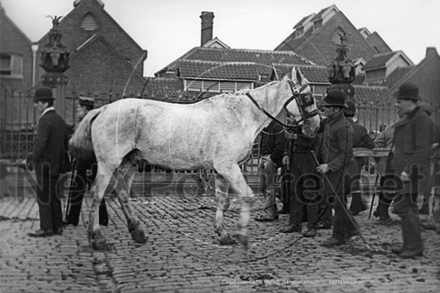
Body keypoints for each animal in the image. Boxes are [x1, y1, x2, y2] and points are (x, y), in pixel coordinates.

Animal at [70, 66, 322, 249]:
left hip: (130, 162)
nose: (316, 126)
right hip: (108, 163)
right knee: (96, 195)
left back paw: (137, 231)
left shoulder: (221, 169)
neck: (240, 116)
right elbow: (247, 197)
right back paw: (97, 238)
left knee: (121, 193)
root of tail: (103, 109)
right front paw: (241, 235)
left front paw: (223, 234)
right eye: (308, 97)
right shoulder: (228, 166)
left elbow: (222, 201)